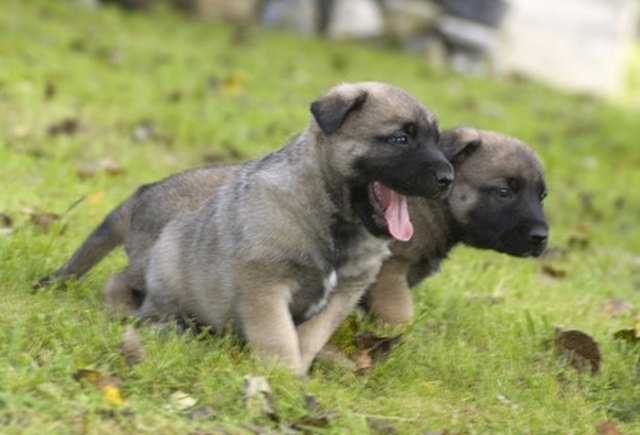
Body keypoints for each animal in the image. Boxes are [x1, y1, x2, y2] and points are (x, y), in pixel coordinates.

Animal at [368, 126, 548, 324]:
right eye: (504, 192)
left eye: (542, 197)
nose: (541, 237)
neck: (433, 204)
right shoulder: (391, 271)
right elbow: (398, 314)